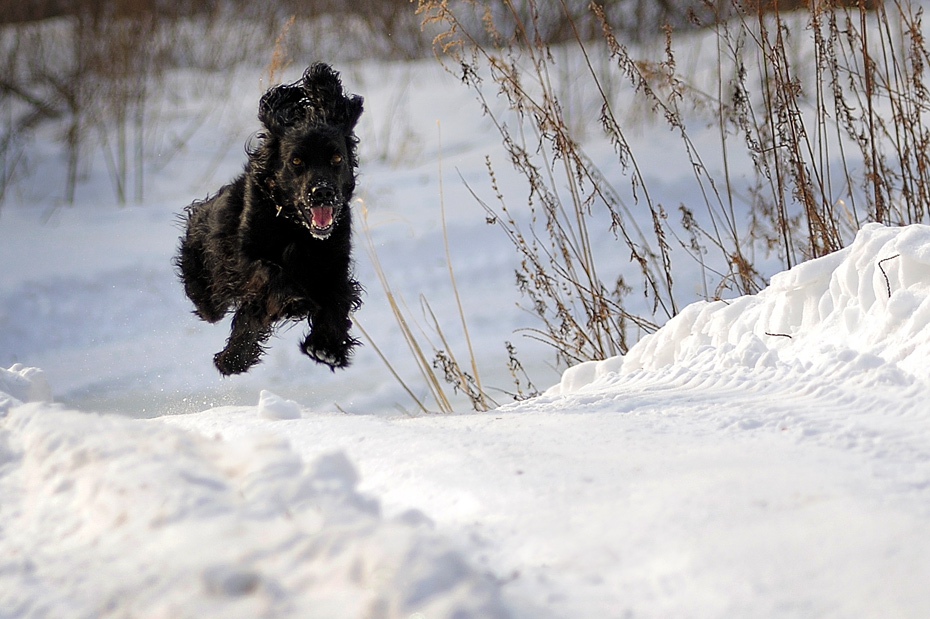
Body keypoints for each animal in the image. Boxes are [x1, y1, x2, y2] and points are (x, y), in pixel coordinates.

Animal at [176, 63, 364, 376]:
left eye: (337, 158)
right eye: (296, 161)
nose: (323, 192)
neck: (296, 228)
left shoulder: (334, 263)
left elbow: (338, 298)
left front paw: (326, 348)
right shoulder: (245, 257)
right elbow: (268, 271)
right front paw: (294, 301)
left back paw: (232, 360)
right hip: (208, 285)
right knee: (215, 306)